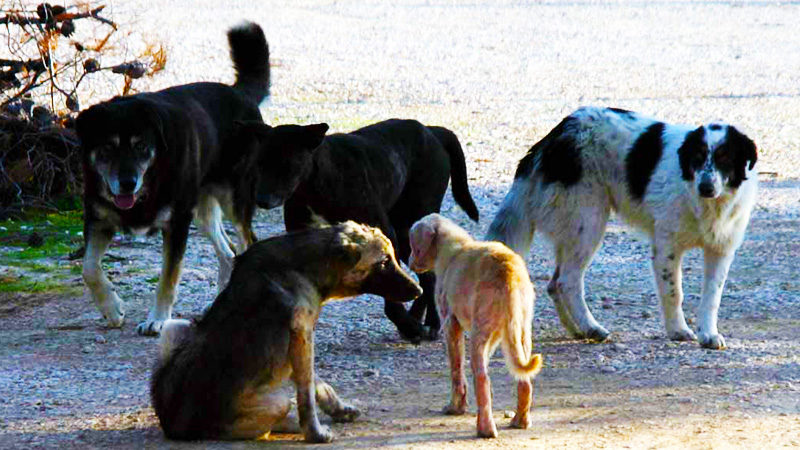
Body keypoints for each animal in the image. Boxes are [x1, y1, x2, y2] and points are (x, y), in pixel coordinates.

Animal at [76, 22, 320, 336]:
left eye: (141, 146)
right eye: (107, 148)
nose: (127, 183)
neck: (150, 181)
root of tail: (239, 94)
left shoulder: (177, 224)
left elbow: (168, 279)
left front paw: (157, 318)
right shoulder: (98, 220)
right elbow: (89, 268)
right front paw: (112, 309)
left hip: (233, 200)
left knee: (246, 242)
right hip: (203, 210)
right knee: (229, 254)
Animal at [152, 222, 424, 442]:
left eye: (393, 257)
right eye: (384, 262)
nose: (419, 290)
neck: (303, 267)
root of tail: (172, 425)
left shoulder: (300, 342)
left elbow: (318, 384)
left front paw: (339, 410)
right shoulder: (302, 336)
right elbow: (307, 394)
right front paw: (314, 433)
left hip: (175, 327)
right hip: (275, 403)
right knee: (265, 425)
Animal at [244, 118, 478, 342]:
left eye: (287, 163)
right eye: (259, 163)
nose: (261, 199)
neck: (316, 183)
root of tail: (432, 130)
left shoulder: (385, 235)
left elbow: (391, 290)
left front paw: (408, 326)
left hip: (410, 226)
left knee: (430, 276)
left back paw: (431, 323)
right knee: (425, 276)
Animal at [406, 214, 544, 440]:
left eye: (413, 245)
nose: (409, 262)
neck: (454, 247)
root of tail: (509, 272)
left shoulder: (451, 325)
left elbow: (456, 371)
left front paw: (455, 408)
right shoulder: (496, 336)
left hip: (480, 333)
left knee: (482, 378)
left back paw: (485, 429)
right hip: (521, 332)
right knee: (524, 381)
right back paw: (520, 421)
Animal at [488, 107, 756, 350]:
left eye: (725, 158)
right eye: (697, 157)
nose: (706, 187)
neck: (707, 205)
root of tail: (553, 137)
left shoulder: (720, 250)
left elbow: (712, 296)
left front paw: (708, 334)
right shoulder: (666, 248)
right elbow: (673, 292)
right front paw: (678, 330)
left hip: (574, 229)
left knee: (554, 284)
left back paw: (577, 329)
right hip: (589, 222)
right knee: (567, 281)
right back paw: (591, 327)